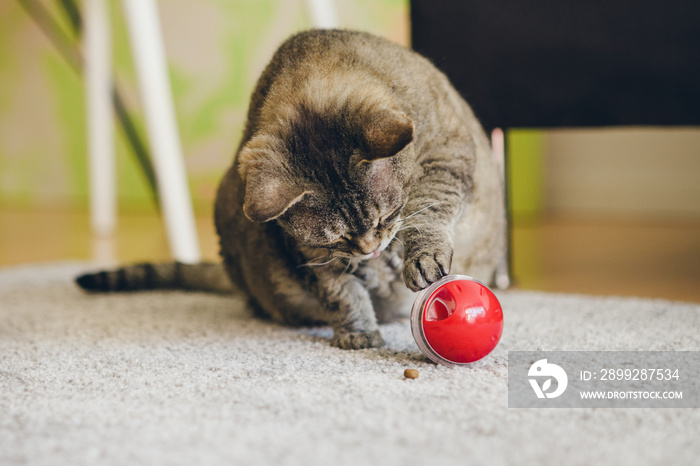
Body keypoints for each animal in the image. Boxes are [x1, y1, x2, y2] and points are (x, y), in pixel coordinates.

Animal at [76, 29, 506, 350]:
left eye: (386, 215)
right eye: (338, 237)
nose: (370, 248)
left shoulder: (447, 156)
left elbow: (429, 209)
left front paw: (419, 256)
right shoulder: (309, 252)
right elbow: (340, 292)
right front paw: (358, 331)